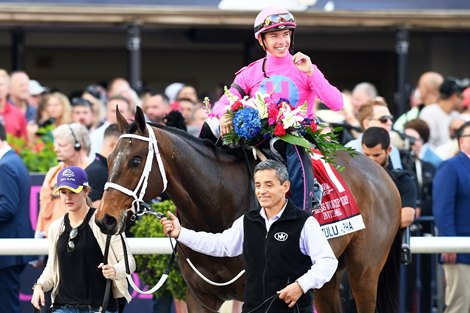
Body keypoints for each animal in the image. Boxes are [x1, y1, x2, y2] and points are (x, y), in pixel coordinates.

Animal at [94, 106, 400, 310]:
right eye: (108, 158)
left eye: (135, 160)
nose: (104, 219)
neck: (215, 205)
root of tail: (381, 173)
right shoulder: (200, 298)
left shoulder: (254, 294)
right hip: (326, 276)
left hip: (364, 272)